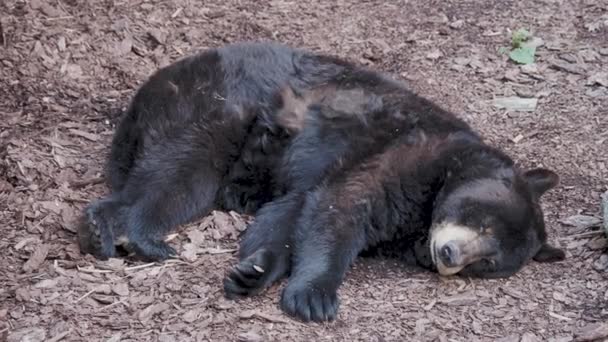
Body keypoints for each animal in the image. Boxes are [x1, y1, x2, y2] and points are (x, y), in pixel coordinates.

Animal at [78, 41, 568, 322]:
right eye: (479, 217)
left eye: (488, 262)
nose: (449, 254)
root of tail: (152, 85)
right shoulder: (401, 155)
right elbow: (341, 208)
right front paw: (314, 297)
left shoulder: (324, 176)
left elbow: (293, 215)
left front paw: (254, 270)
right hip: (214, 108)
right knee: (178, 172)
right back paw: (131, 235)